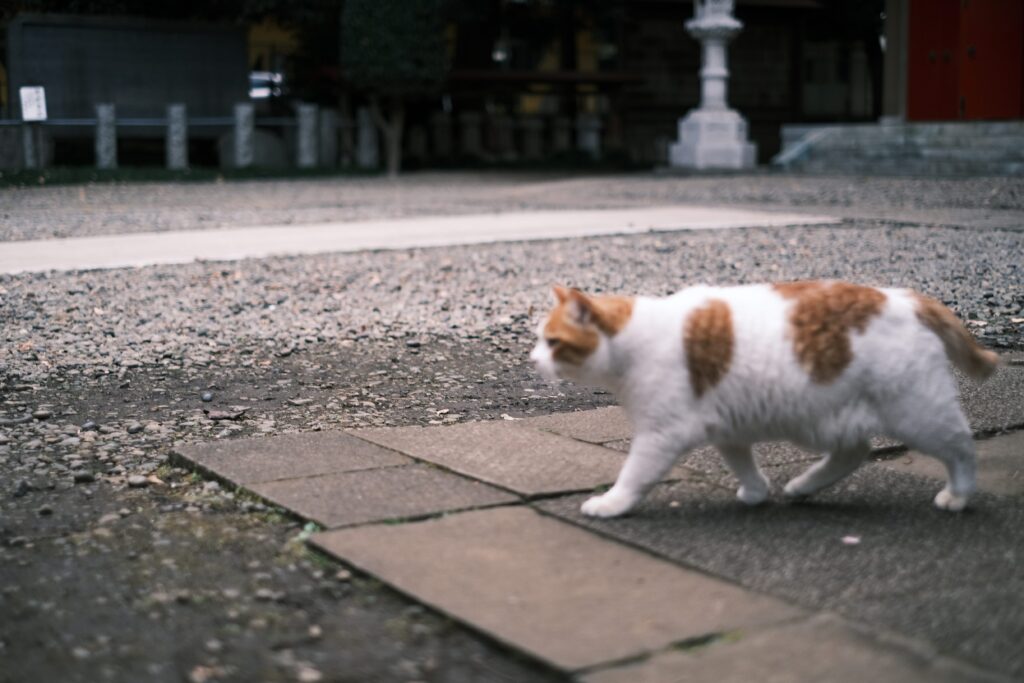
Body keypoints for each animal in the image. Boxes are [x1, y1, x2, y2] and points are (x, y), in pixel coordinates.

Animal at [532, 280, 995, 516]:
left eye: (552, 342)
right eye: (539, 340)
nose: (532, 358)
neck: (634, 338)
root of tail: (906, 297)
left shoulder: (661, 435)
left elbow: (634, 476)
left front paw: (611, 503)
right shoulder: (726, 428)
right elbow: (743, 464)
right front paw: (756, 492)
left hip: (916, 413)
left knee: (961, 446)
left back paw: (959, 495)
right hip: (823, 417)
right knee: (855, 451)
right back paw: (803, 486)